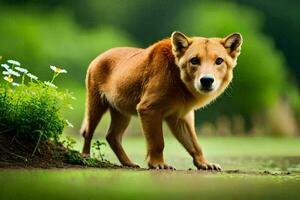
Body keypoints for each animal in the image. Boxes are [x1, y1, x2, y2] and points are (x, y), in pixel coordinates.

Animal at [81, 31, 243, 170]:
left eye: (219, 61)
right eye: (194, 60)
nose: (207, 80)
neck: (179, 82)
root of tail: (97, 58)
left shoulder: (182, 116)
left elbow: (195, 144)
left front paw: (204, 164)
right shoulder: (148, 109)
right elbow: (158, 142)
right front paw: (158, 164)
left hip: (122, 112)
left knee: (112, 136)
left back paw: (128, 163)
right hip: (96, 105)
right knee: (88, 133)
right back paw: (85, 157)